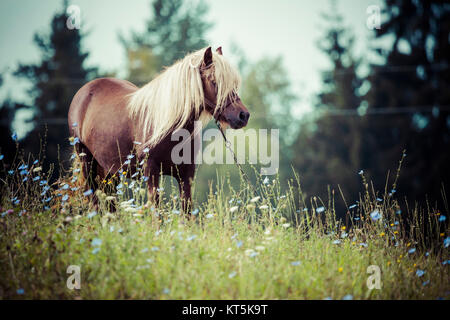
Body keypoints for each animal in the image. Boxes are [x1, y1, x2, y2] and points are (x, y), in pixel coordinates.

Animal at [67, 46, 250, 212]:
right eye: (214, 81)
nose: (243, 115)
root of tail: (84, 92)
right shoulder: (151, 172)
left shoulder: (186, 174)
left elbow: (187, 214)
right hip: (87, 162)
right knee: (95, 202)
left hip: (111, 170)